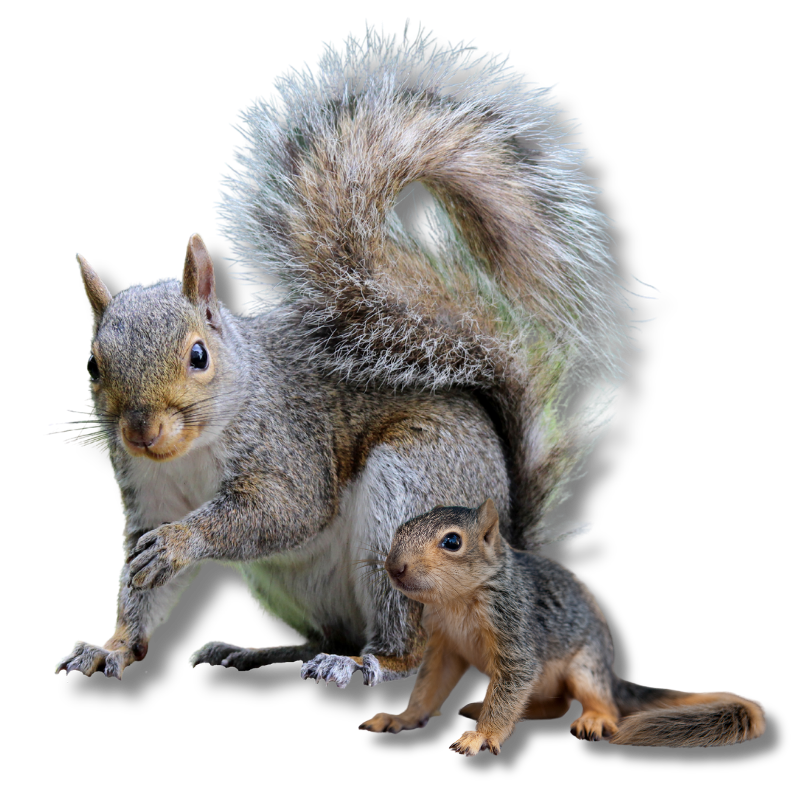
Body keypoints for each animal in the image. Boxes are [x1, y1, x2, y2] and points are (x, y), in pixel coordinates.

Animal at [53, 21, 641, 686]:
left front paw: (182, 542)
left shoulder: (289, 443)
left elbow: (284, 510)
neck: (195, 449)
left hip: (408, 505)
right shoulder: (146, 494)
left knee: (410, 647)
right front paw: (111, 647)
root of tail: (506, 547)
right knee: (326, 632)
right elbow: (142, 589)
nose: (141, 431)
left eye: (199, 356)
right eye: (92, 365)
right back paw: (257, 650)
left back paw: (366, 663)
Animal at [360, 500, 767, 753]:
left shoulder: (515, 631)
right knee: (555, 705)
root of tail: (609, 671)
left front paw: (483, 737)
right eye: (399, 530)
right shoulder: (444, 645)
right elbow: (428, 690)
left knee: (599, 704)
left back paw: (594, 719)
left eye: (451, 541)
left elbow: (512, 682)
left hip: (585, 668)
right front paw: (401, 718)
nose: (394, 567)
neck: (457, 600)